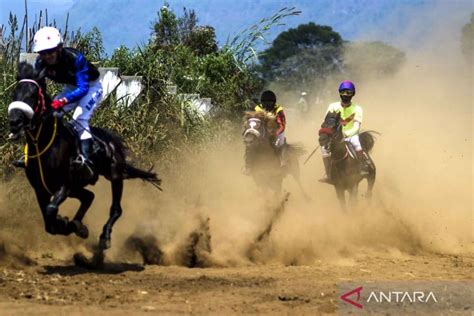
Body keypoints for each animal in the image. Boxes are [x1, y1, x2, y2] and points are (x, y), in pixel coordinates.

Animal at [6, 63, 161, 253]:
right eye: (15, 92)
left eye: (33, 94)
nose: (14, 122)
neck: (43, 144)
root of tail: (112, 140)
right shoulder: (40, 189)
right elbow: (49, 223)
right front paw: (69, 224)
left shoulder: (64, 186)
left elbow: (51, 210)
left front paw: (66, 223)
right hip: (78, 186)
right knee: (89, 196)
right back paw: (79, 225)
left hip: (114, 176)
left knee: (116, 209)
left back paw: (104, 237)